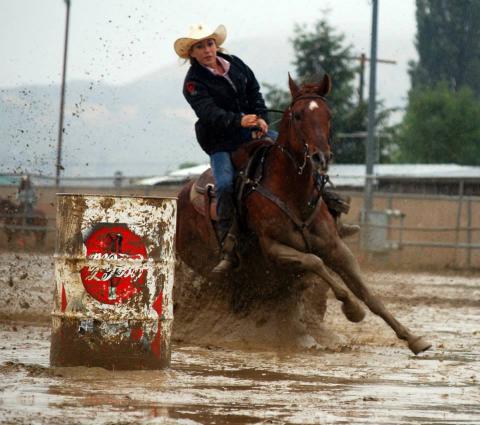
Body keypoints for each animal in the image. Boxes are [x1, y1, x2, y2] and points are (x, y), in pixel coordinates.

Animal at [176, 74, 432, 352]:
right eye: (298, 115)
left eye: (328, 114)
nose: (321, 157)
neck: (291, 191)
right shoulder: (275, 249)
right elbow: (315, 262)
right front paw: (353, 309)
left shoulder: (335, 246)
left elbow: (367, 292)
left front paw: (413, 338)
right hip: (209, 264)